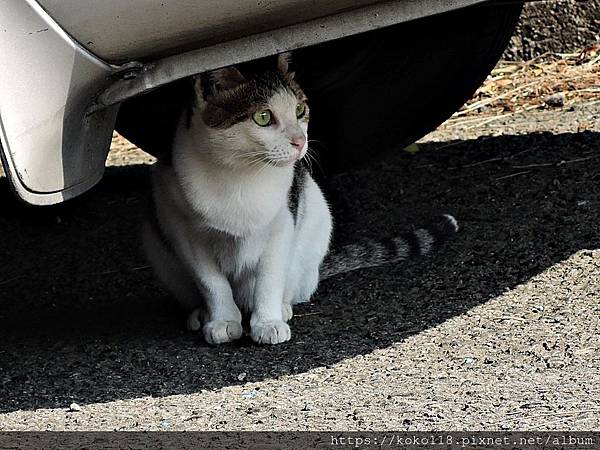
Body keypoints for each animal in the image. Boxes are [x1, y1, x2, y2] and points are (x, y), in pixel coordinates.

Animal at [142, 54, 460, 346]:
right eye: (263, 117)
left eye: (299, 110)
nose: (300, 141)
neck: (239, 176)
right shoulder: (183, 229)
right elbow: (212, 283)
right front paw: (222, 320)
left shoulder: (283, 220)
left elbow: (270, 276)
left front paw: (268, 322)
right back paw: (200, 314)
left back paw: (281, 307)